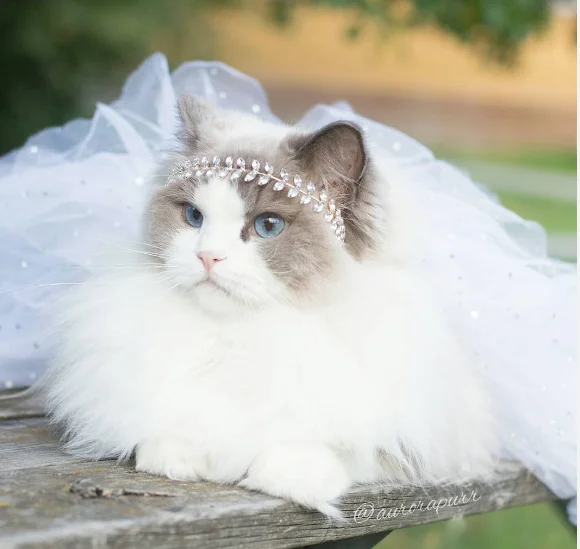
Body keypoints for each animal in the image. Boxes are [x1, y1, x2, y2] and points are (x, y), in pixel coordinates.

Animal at [45, 95, 497, 517]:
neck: (248, 335)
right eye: (194, 217)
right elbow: (166, 429)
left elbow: (334, 447)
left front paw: (282, 478)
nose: (207, 256)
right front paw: (177, 459)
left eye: (267, 226)